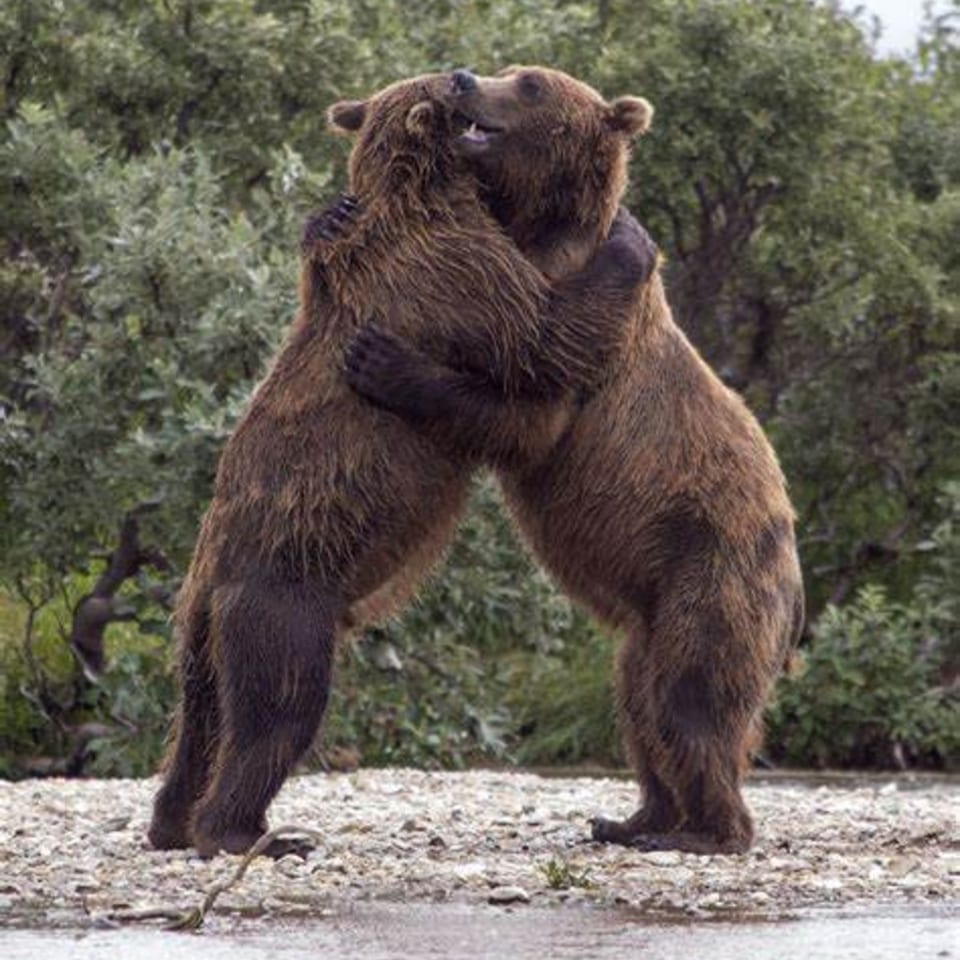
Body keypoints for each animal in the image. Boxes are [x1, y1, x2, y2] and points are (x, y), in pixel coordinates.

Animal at [146, 71, 655, 858]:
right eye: (446, 83)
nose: (463, 72)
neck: (420, 193)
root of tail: (211, 582)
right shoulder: (455, 271)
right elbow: (541, 333)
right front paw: (627, 243)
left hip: (200, 624)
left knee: (199, 717)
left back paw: (173, 822)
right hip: (285, 597)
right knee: (278, 710)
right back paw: (250, 831)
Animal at [344, 66, 805, 855]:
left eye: (529, 85)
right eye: (507, 69)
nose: (464, 77)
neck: (538, 228)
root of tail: (798, 579)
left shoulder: (576, 331)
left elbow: (528, 409)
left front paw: (386, 361)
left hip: (714, 572)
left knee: (692, 698)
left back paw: (704, 831)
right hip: (651, 619)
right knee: (639, 704)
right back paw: (633, 817)